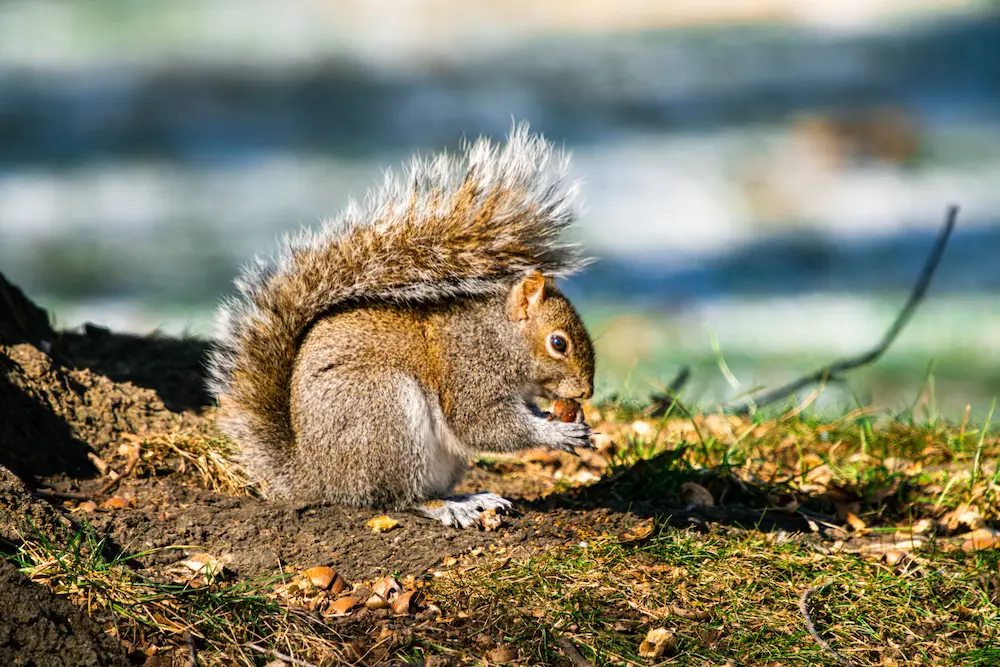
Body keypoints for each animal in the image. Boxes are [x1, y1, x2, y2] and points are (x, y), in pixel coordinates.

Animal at [206, 124, 595, 528]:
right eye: (558, 343)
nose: (587, 391)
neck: (499, 337)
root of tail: (314, 476)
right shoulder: (470, 370)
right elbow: (482, 424)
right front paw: (556, 431)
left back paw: (470, 497)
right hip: (384, 416)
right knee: (399, 498)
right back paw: (450, 507)